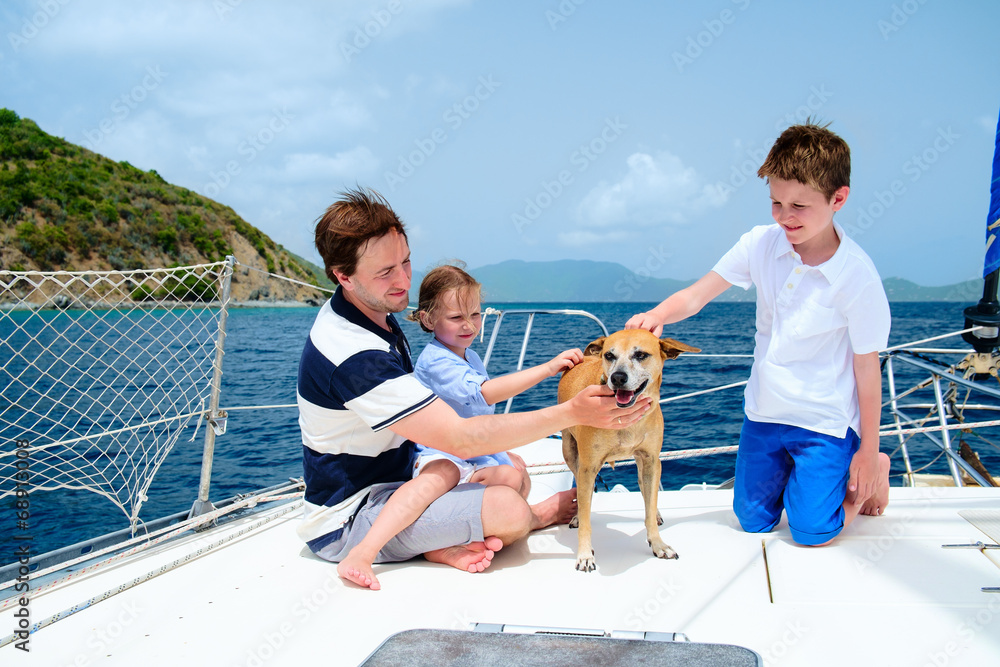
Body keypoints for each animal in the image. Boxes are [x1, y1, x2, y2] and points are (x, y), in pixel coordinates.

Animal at [560, 332, 700, 572]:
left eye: (641, 355)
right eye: (609, 355)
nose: (617, 377)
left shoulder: (652, 460)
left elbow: (650, 505)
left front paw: (658, 544)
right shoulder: (588, 466)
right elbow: (586, 517)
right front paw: (585, 554)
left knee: (646, 491)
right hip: (570, 452)